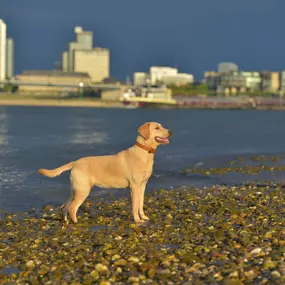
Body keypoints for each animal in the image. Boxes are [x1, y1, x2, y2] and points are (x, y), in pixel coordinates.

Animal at [37, 121, 171, 223]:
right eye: (157, 128)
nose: (171, 131)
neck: (144, 152)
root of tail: (75, 163)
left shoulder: (142, 186)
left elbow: (140, 203)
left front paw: (143, 217)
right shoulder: (134, 187)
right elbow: (134, 206)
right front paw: (137, 220)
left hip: (76, 190)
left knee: (65, 206)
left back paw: (65, 221)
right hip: (83, 190)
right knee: (72, 208)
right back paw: (76, 222)